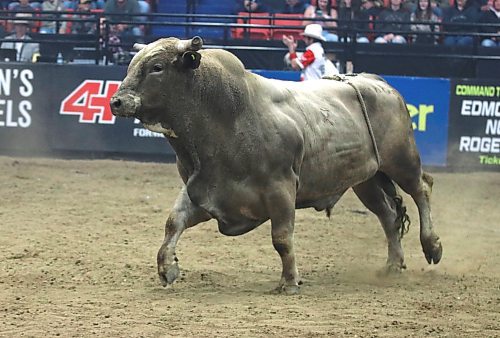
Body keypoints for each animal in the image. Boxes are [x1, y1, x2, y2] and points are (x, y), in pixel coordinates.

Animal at [109, 35, 442, 294]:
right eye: (132, 64)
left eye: (157, 67)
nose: (117, 101)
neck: (228, 116)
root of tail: (375, 81)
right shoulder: (202, 189)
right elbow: (173, 222)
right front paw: (167, 268)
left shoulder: (280, 188)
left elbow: (281, 239)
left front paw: (289, 281)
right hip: (365, 180)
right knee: (388, 215)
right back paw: (393, 264)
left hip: (402, 159)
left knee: (422, 189)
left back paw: (432, 246)